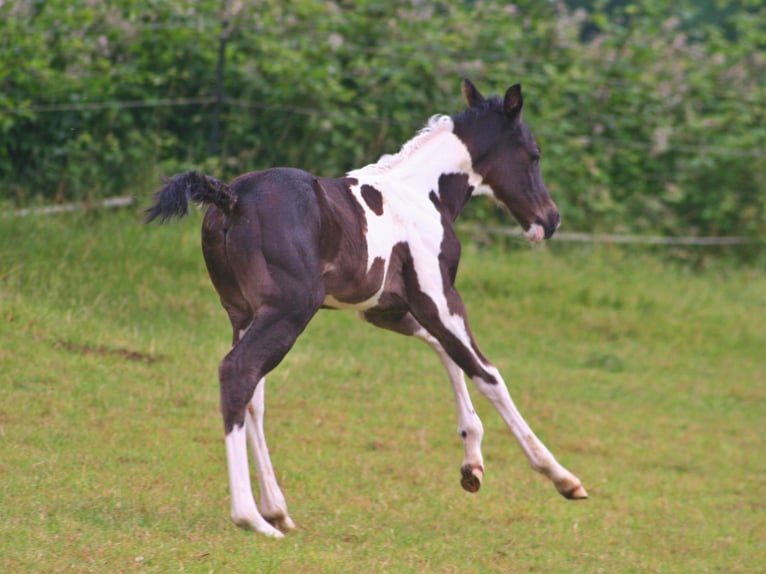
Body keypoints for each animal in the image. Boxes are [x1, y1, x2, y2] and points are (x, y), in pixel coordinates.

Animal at [146, 79, 587, 537]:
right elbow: (487, 374)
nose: (550, 220)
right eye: (533, 154)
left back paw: (277, 510)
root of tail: (231, 198)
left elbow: (445, 350)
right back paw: (251, 516)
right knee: (238, 373)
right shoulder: (438, 297)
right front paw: (562, 478)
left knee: (253, 394)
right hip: (290, 311)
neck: (423, 193)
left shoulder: (384, 309)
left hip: (243, 314)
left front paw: (472, 463)